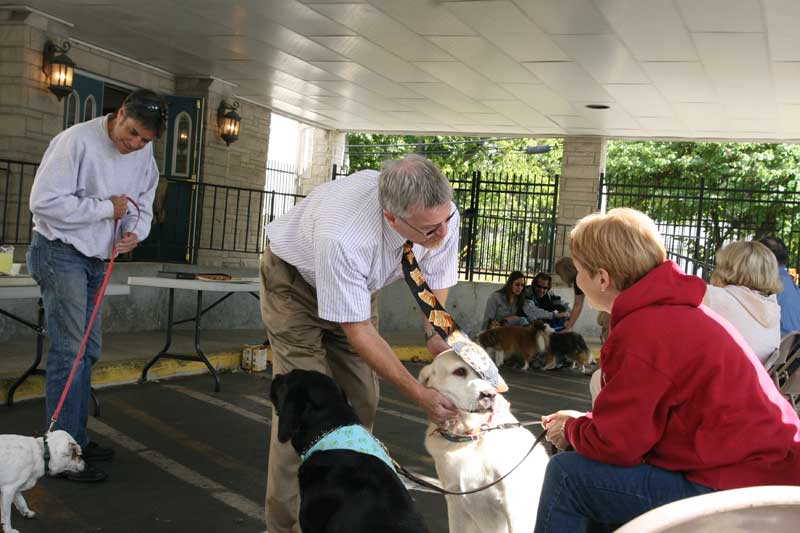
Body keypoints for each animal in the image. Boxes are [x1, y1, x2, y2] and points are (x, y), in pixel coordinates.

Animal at [418, 350, 552, 532]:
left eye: (487, 377)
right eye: (460, 371)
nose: (489, 395)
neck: (470, 439)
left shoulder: (514, 506)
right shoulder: (455, 503)